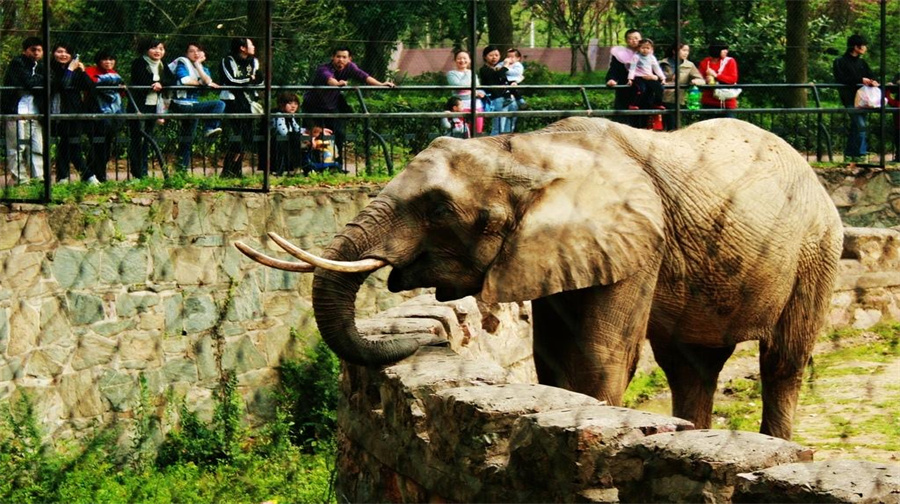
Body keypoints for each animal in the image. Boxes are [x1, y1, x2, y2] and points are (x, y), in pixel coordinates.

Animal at [239, 118, 844, 440]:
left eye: (438, 208)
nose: (429, 337)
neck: (532, 149)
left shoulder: (640, 242)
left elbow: (603, 358)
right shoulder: (551, 250)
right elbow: (551, 360)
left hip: (816, 249)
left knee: (782, 362)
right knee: (690, 366)